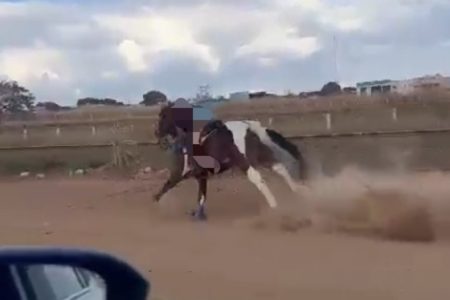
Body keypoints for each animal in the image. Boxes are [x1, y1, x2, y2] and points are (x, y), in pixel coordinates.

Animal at [154, 101, 306, 220]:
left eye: (163, 116)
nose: (157, 133)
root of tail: (249, 127)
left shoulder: (182, 172)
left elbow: (166, 187)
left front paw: (156, 206)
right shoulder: (201, 176)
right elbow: (201, 197)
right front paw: (198, 215)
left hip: (245, 162)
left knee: (258, 179)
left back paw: (275, 207)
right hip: (264, 156)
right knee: (280, 168)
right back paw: (301, 191)